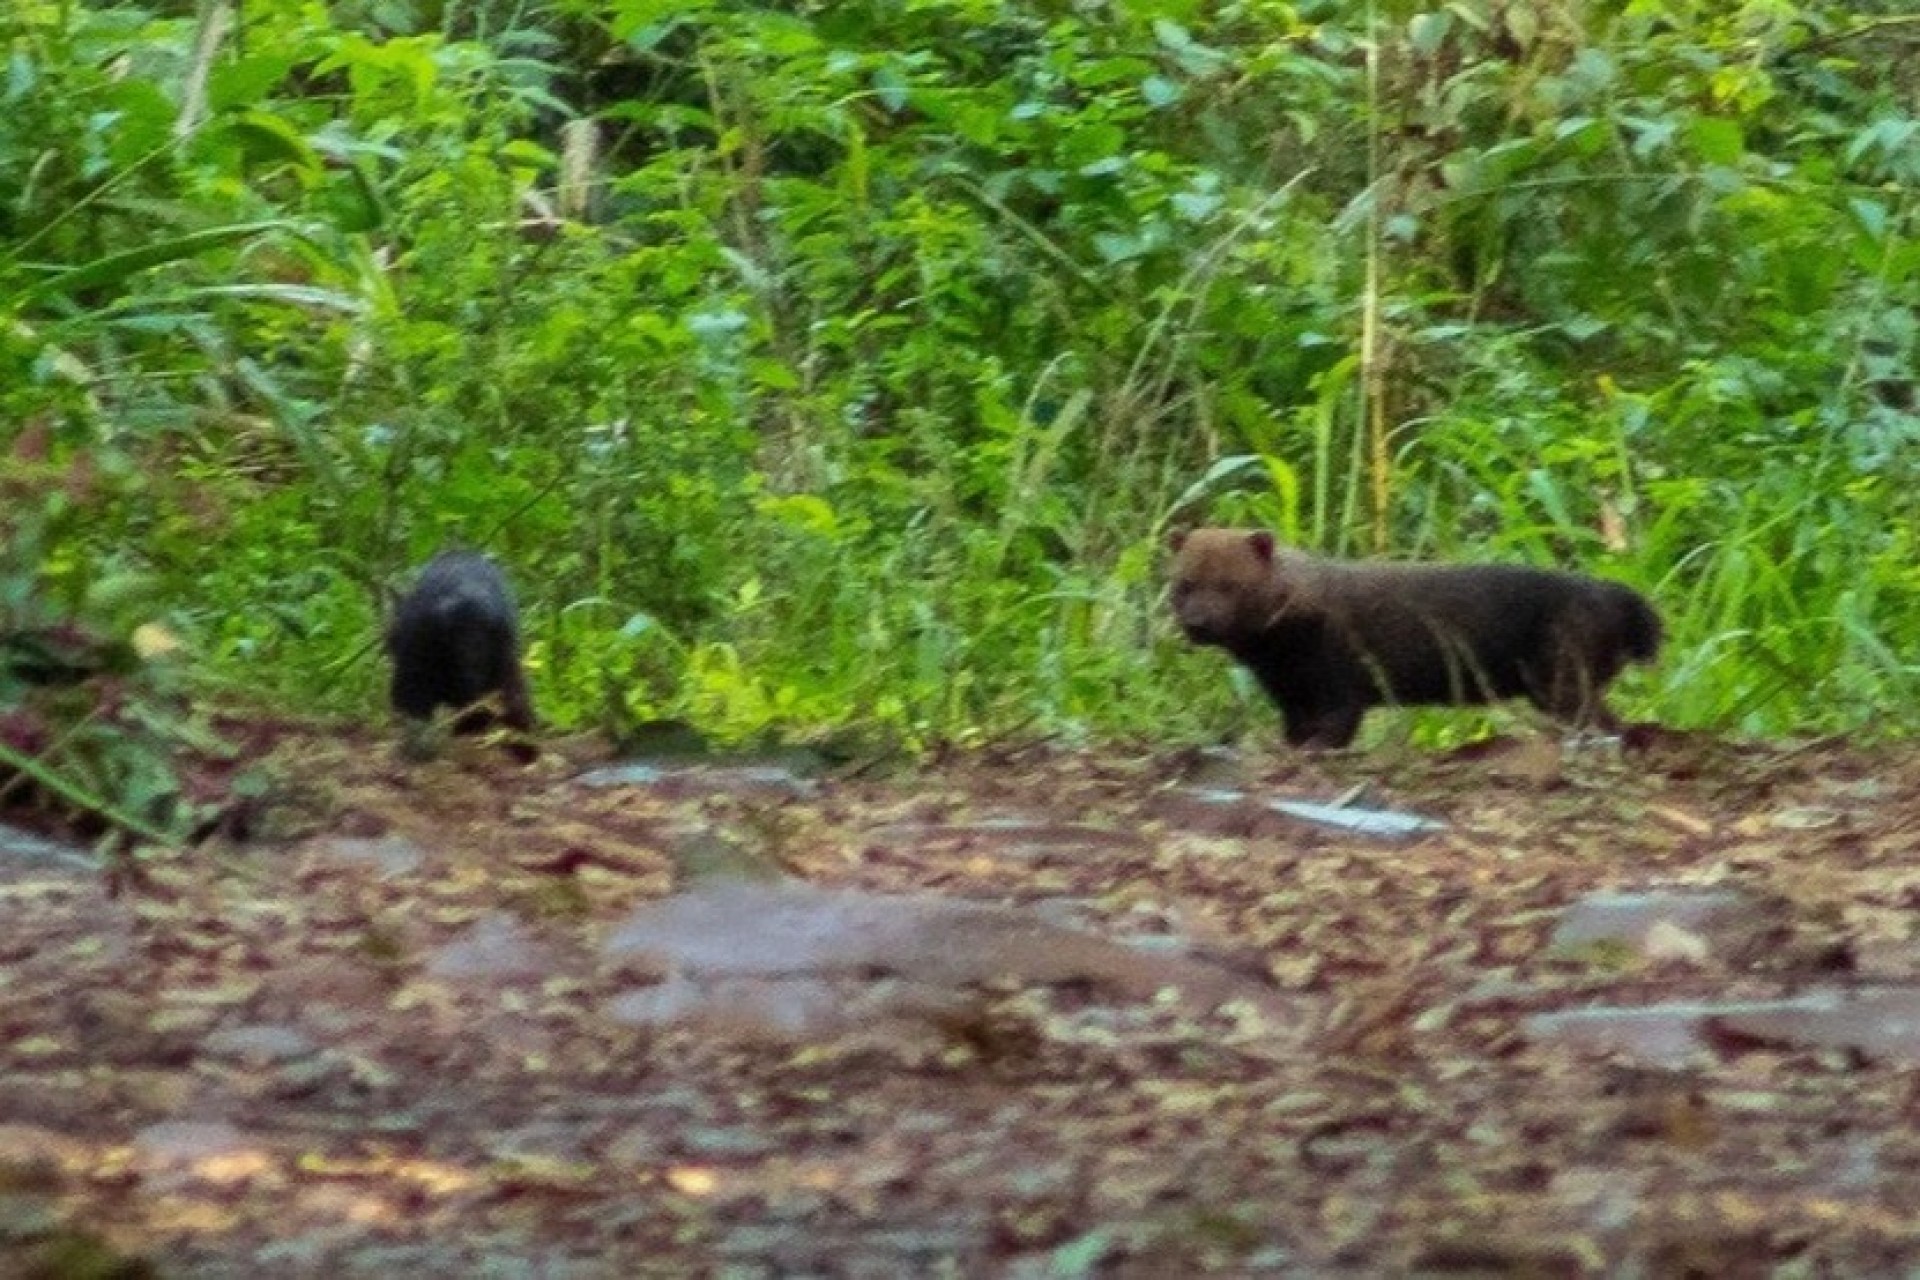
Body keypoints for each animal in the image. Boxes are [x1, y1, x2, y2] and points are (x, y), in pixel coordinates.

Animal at [1167, 529, 1666, 752]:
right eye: (1184, 583)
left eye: (1229, 584)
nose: (1198, 622)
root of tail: (1618, 597)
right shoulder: (1290, 693)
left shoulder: (1338, 677)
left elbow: (1336, 726)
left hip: (1561, 675)